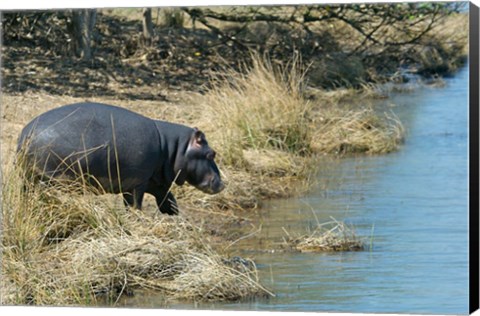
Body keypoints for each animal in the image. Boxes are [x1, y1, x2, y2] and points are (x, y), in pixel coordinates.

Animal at [15, 102, 224, 216]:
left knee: (26, 193)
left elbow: (167, 198)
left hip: (29, 178)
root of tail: (25, 134)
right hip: (50, 177)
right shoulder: (139, 182)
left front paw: (174, 214)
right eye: (211, 153)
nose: (222, 184)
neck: (174, 147)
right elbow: (135, 204)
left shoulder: (153, 180)